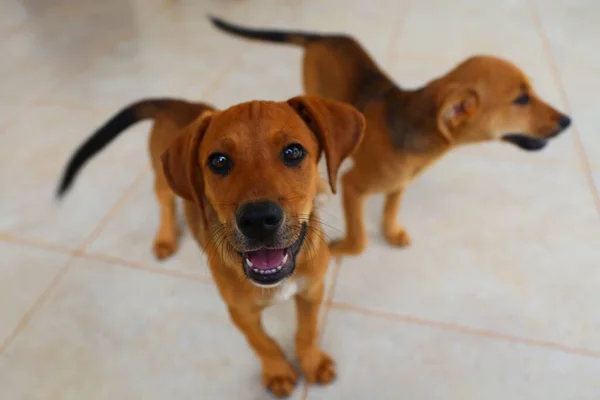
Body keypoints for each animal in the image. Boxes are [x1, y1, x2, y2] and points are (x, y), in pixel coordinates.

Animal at [58, 95, 364, 396]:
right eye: (218, 161)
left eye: (293, 152)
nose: (257, 220)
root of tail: (176, 105)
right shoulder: (240, 312)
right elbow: (262, 342)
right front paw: (277, 371)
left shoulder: (312, 291)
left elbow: (307, 331)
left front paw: (312, 361)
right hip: (162, 178)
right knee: (165, 203)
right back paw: (165, 237)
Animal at [211, 18, 572, 256]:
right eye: (521, 99)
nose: (568, 121)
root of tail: (323, 36)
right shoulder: (354, 186)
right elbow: (359, 239)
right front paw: (344, 248)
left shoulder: (400, 183)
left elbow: (390, 209)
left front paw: (391, 232)